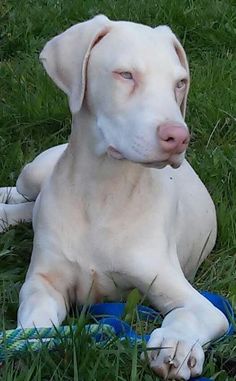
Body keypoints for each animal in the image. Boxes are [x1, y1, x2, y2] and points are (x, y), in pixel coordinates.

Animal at [0, 16, 229, 378]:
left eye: (180, 83)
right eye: (126, 75)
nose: (178, 137)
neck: (102, 191)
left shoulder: (187, 294)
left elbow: (192, 313)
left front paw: (176, 345)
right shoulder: (43, 281)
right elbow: (36, 320)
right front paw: (30, 340)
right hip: (33, 172)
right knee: (26, 195)